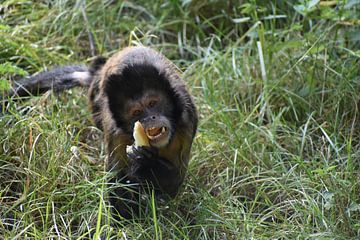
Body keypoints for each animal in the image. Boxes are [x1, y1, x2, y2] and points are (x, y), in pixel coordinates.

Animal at [1, 46, 198, 219]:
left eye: (152, 103)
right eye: (136, 112)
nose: (150, 118)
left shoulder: (186, 120)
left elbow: (174, 184)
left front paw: (146, 163)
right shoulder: (116, 132)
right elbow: (118, 179)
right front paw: (127, 220)